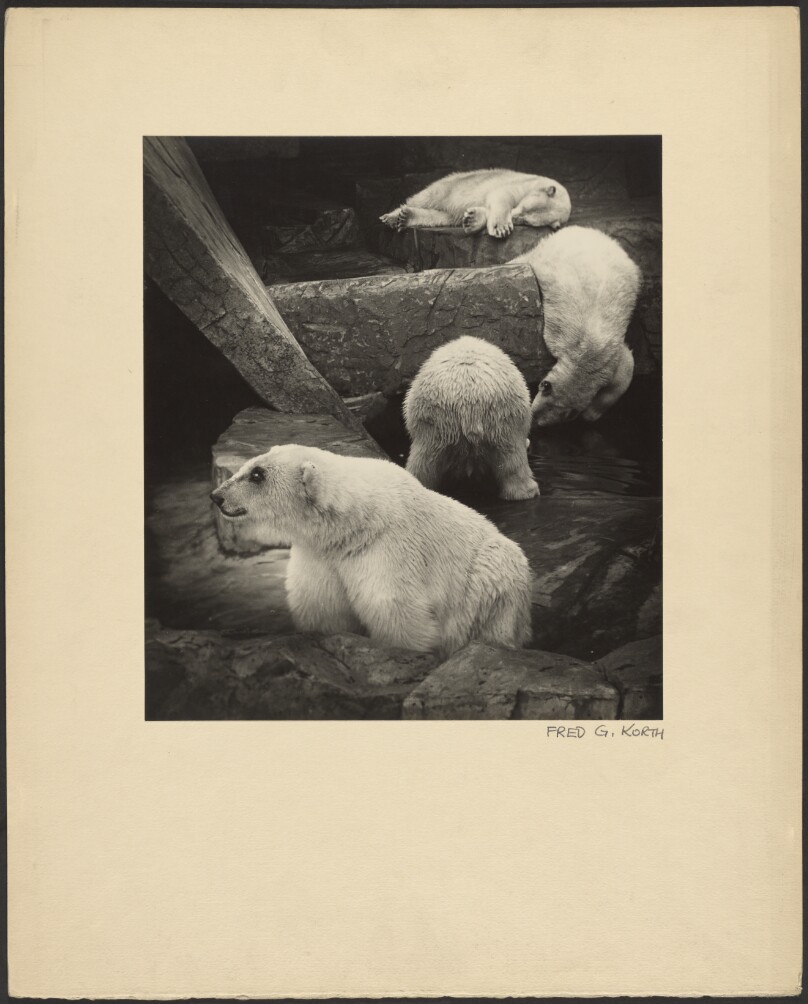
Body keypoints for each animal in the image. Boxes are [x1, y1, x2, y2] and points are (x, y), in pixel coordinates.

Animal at [210, 444, 533, 657]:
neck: (351, 525)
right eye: (250, 465)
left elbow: (395, 611)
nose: (216, 496)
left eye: (257, 475)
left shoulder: (388, 550)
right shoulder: (320, 556)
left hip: (490, 580)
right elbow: (320, 604)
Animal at [379, 169, 572, 239]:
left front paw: (472, 219)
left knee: (442, 216)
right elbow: (501, 196)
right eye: (523, 208)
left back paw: (407, 217)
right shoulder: (521, 184)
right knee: (425, 198)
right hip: (450, 185)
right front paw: (501, 228)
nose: (514, 215)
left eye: (525, 221)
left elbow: (484, 209)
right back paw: (394, 216)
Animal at [510, 225, 642, 425]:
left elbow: (626, 370)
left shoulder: (610, 356)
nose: (534, 420)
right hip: (550, 250)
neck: (588, 354)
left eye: (540, 419)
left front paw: (591, 413)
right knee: (529, 258)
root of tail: (589, 230)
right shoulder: (563, 336)